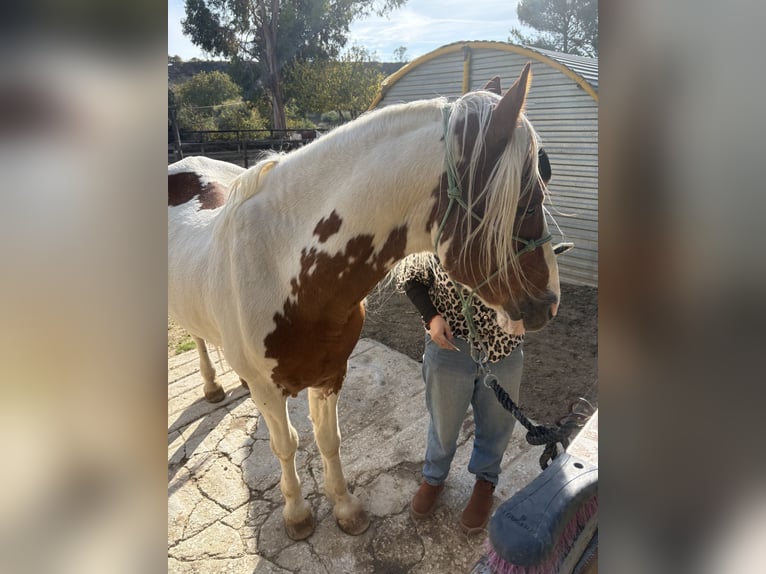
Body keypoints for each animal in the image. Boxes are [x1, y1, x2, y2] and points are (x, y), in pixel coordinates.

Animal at [168, 63, 561, 540]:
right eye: (528, 203)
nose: (549, 303)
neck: (282, 270)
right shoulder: (268, 389)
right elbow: (285, 444)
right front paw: (297, 514)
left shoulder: (331, 373)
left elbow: (328, 440)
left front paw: (345, 507)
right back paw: (211, 386)